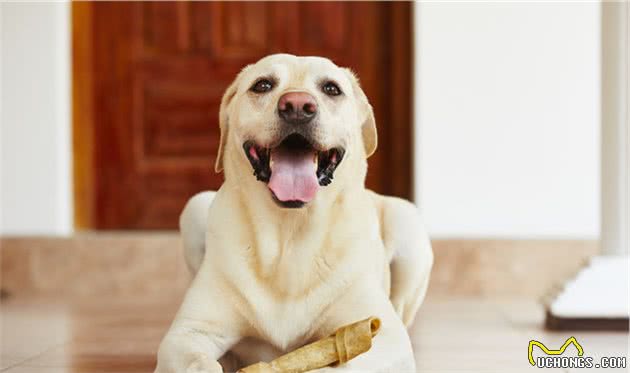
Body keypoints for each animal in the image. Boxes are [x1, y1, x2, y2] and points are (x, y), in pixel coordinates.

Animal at [157, 53, 434, 370]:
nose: (298, 106)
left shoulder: (385, 337)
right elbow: (198, 362)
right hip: (195, 207)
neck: (288, 236)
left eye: (331, 89)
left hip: (407, 221)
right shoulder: (187, 333)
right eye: (262, 85)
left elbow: (337, 365)